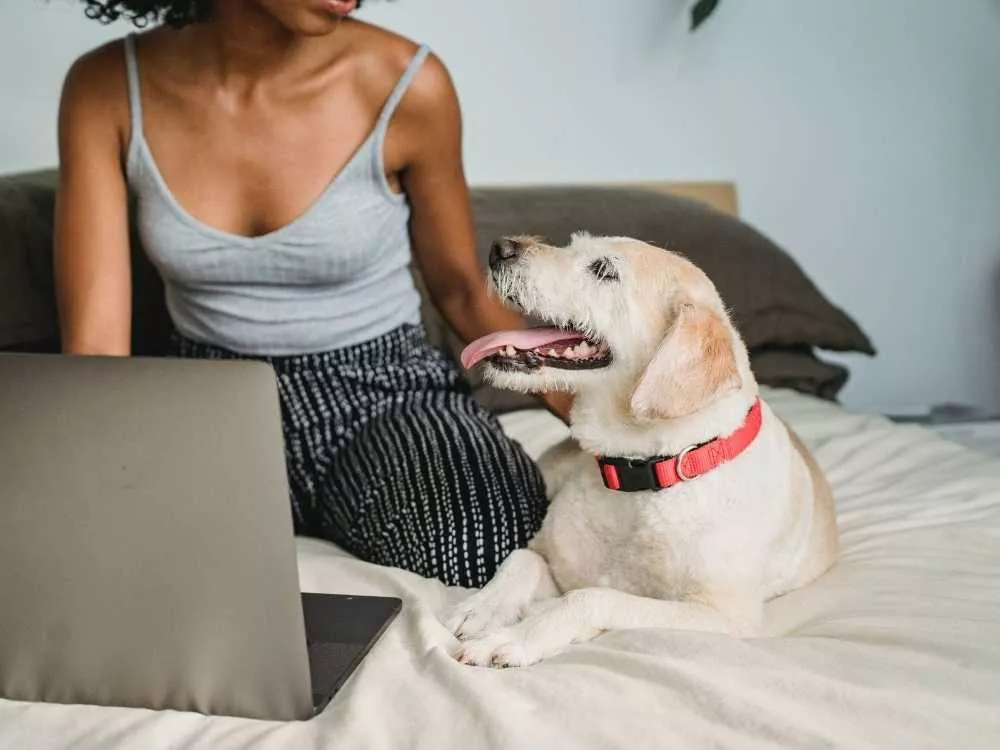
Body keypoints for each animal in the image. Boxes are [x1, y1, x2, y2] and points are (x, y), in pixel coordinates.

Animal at [442, 234, 840, 668]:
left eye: (604, 270)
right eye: (573, 244)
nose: (501, 247)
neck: (643, 473)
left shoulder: (721, 617)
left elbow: (591, 598)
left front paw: (514, 637)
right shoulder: (555, 563)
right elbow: (523, 558)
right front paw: (483, 607)